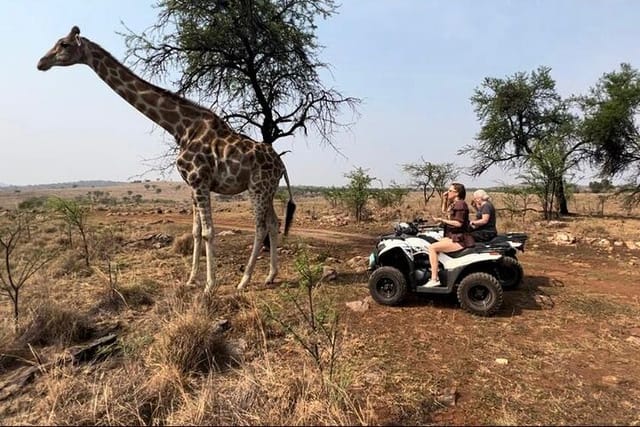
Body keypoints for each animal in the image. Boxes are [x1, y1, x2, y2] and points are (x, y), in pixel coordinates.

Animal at [40, 26, 298, 292]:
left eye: (64, 44)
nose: (41, 63)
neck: (181, 128)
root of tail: (282, 165)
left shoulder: (200, 180)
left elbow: (208, 231)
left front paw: (209, 286)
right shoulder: (193, 185)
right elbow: (195, 231)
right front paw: (191, 280)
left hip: (258, 187)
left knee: (260, 227)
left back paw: (244, 281)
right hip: (266, 189)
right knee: (274, 223)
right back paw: (270, 276)